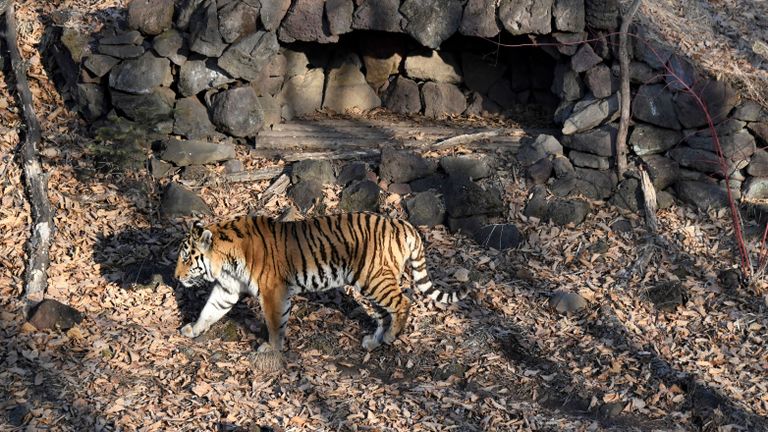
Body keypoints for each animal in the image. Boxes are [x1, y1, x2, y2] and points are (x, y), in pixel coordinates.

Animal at [174, 212, 466, 355]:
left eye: (187, 258)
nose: (176, 276)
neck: (225, 261)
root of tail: (402, 223)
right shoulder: (227, 288)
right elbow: (209, 310)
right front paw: (192, 329)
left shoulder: (273, 291)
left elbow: (274, 323)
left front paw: (272, 348)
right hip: (370, 284)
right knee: (385, 313)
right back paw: (373, 342)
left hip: (375, 279)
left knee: (404, 302)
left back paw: (391, 337)